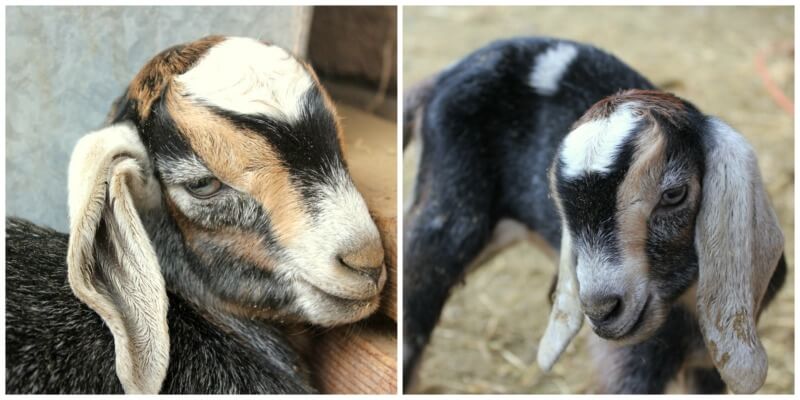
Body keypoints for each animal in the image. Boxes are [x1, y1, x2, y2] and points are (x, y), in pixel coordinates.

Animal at [406, 37, 788, 394]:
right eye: (560, 202)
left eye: (674, 194)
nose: (601, 310)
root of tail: (439, 78)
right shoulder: (631, 362)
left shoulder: (707, 364)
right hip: (448, 215)